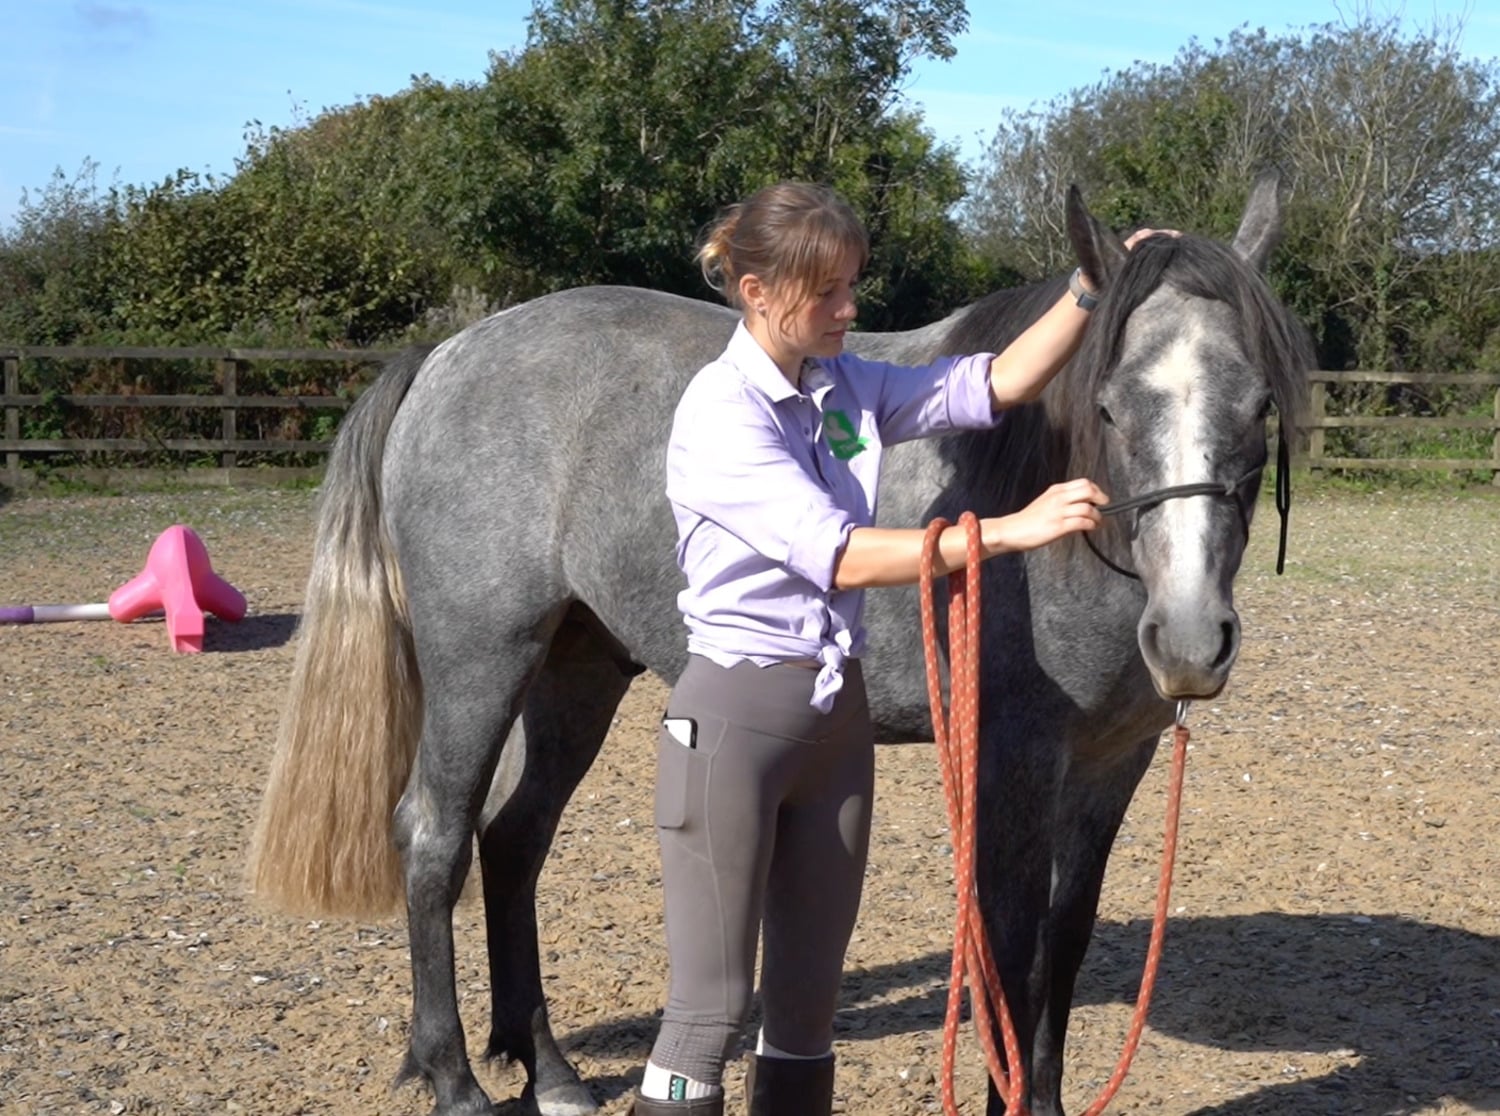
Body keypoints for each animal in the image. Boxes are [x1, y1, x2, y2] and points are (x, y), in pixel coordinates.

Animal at [248, 174, 1311, 1116]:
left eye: (1260, 403)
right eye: (1108, 406)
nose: (1189, 638)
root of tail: (447, 354)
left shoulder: (1111, 765)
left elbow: (1064, 947)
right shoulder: (1011, 760)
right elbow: (1010, 958)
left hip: (577, 671)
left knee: (514, 840)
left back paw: (548, 1072)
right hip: (481, 662)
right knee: (433, 837)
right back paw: (457, 1080)